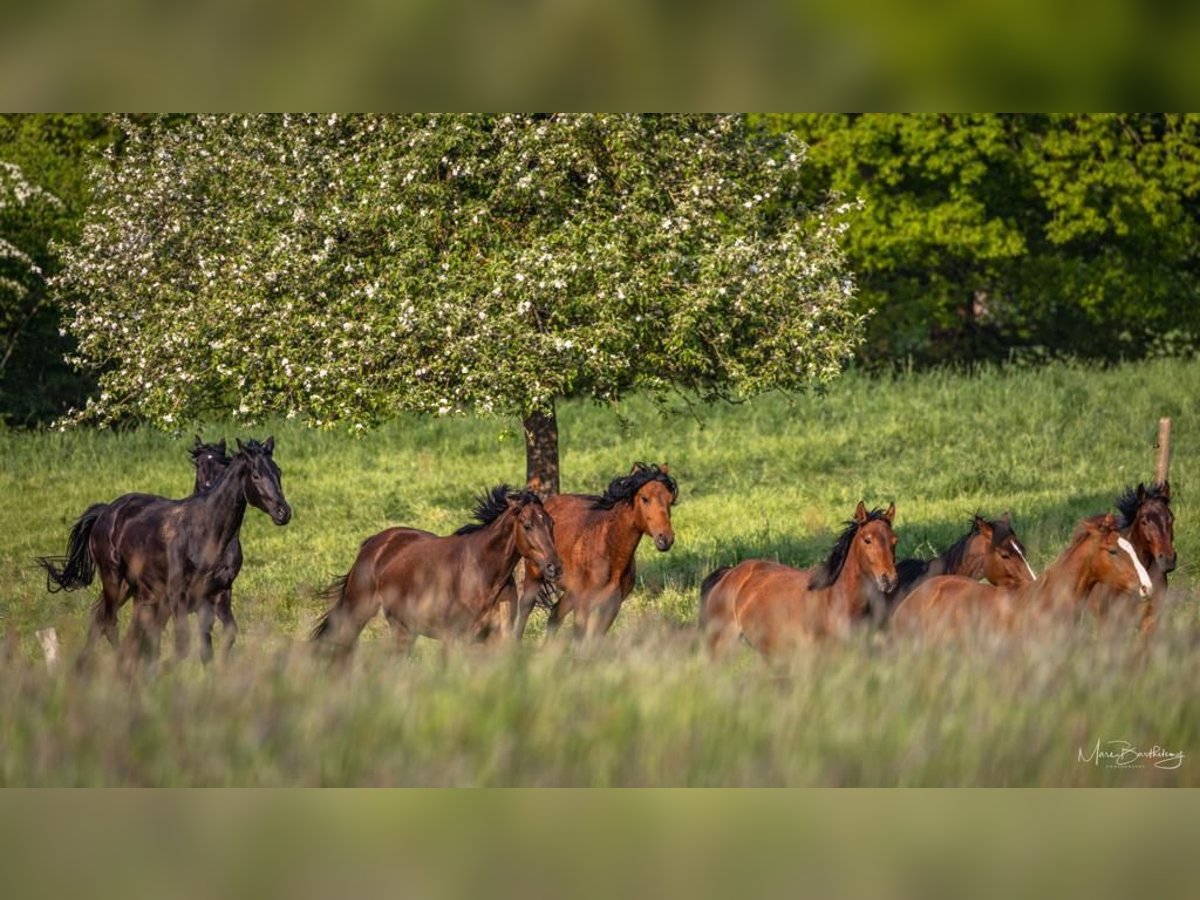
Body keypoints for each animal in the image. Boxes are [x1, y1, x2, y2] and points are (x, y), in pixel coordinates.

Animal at [39, 437, 291, 667]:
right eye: (256, 475)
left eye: (278, 471)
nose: (283, 512)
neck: (208, 533)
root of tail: (106, 512)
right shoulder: (178, 595)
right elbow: (182, 644)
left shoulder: (219, 593)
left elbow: (221, 638)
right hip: (113, 578)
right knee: (110, 622)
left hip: (133, 589)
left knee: (106, 619)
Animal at [310, 486, 562, 659]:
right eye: (527, 524)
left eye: (551, 523)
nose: (555, 567)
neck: (482, 574)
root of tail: (374, 543)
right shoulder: (455, 638)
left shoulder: (495, 638)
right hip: (358, 612)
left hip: (403, 628)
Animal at [512, 462, 677, 640]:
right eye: (645, 498)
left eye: (669, 499)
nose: (665, 539)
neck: (609, 553)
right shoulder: (583, 605)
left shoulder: (611, 607)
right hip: (534, 576)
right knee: (525, 610)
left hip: (570, 594)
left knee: (555, 615)